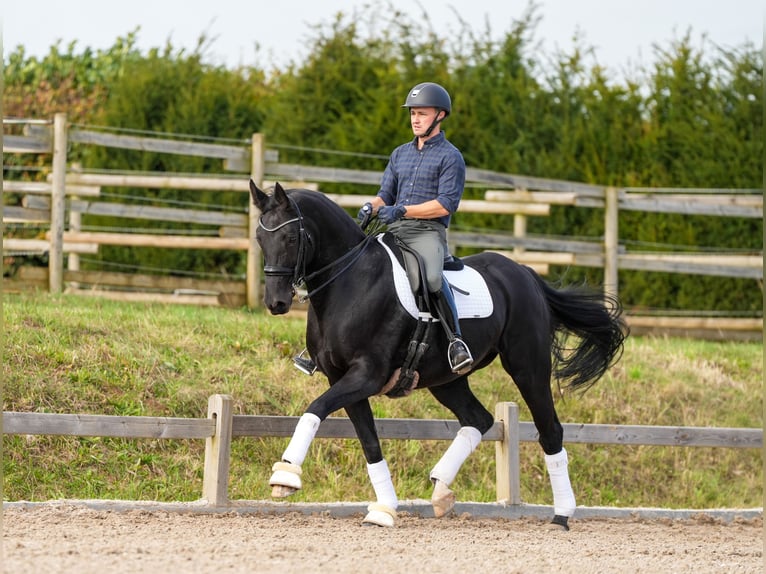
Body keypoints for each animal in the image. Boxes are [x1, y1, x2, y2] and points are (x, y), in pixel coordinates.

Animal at [249, 183, 628, 532]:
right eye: (260, 237)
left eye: (289, 237)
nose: (275, 303)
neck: (351, 282)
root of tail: (526, 274)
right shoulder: (341, 377)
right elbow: (369, 441)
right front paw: (384, 509)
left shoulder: (366, 374)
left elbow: (315, 409)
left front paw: (285, 476)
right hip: (446, 380)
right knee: (479, 419)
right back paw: (441, 488)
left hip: (527, 367)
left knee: (550, 430)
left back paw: (561, 515)